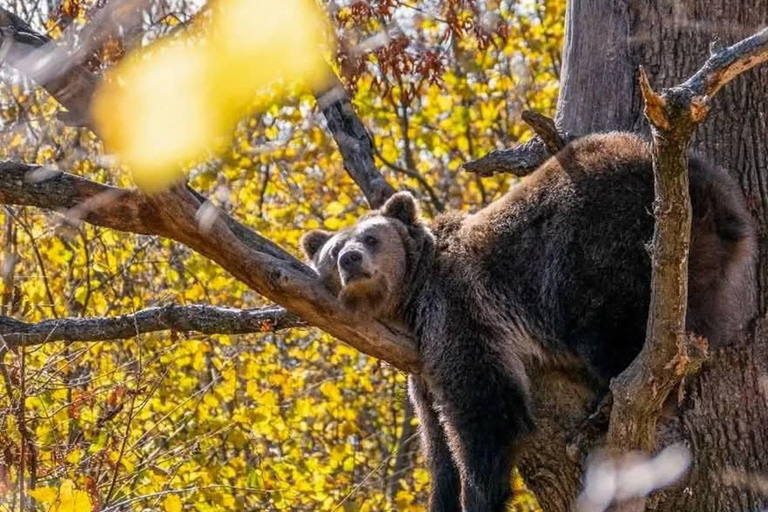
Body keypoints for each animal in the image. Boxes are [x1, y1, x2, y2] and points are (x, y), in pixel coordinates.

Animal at [300, 132, 754, 512]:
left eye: (371, 237)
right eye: (334, 249)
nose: (350, 259)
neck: (409, 306)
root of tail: (705, 187)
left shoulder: (461, 312)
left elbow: (487, 411)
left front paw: (480, 495)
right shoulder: (420, 363)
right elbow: (437, 439)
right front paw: (444, 495)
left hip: (604, 247)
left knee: (615, 330)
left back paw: (615, 402)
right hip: (707, 266)